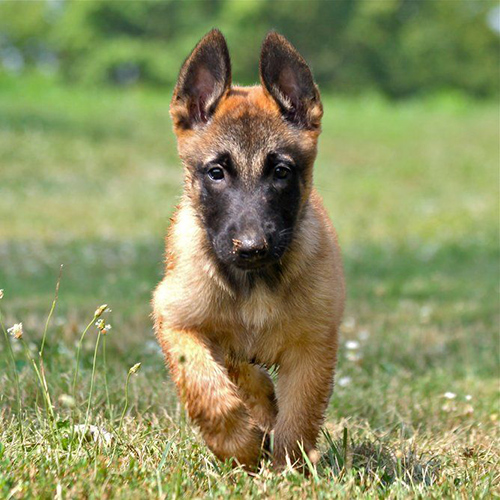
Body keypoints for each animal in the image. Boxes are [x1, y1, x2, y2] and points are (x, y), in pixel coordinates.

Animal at [152, 30, 346, 468]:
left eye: (281, 172)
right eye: (216, 173)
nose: (252, 248)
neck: (254, 282)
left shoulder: (313, 346)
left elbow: (299, 416)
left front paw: (287, 467)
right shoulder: (176, 319)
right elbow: (208, 390)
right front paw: (241, 449)